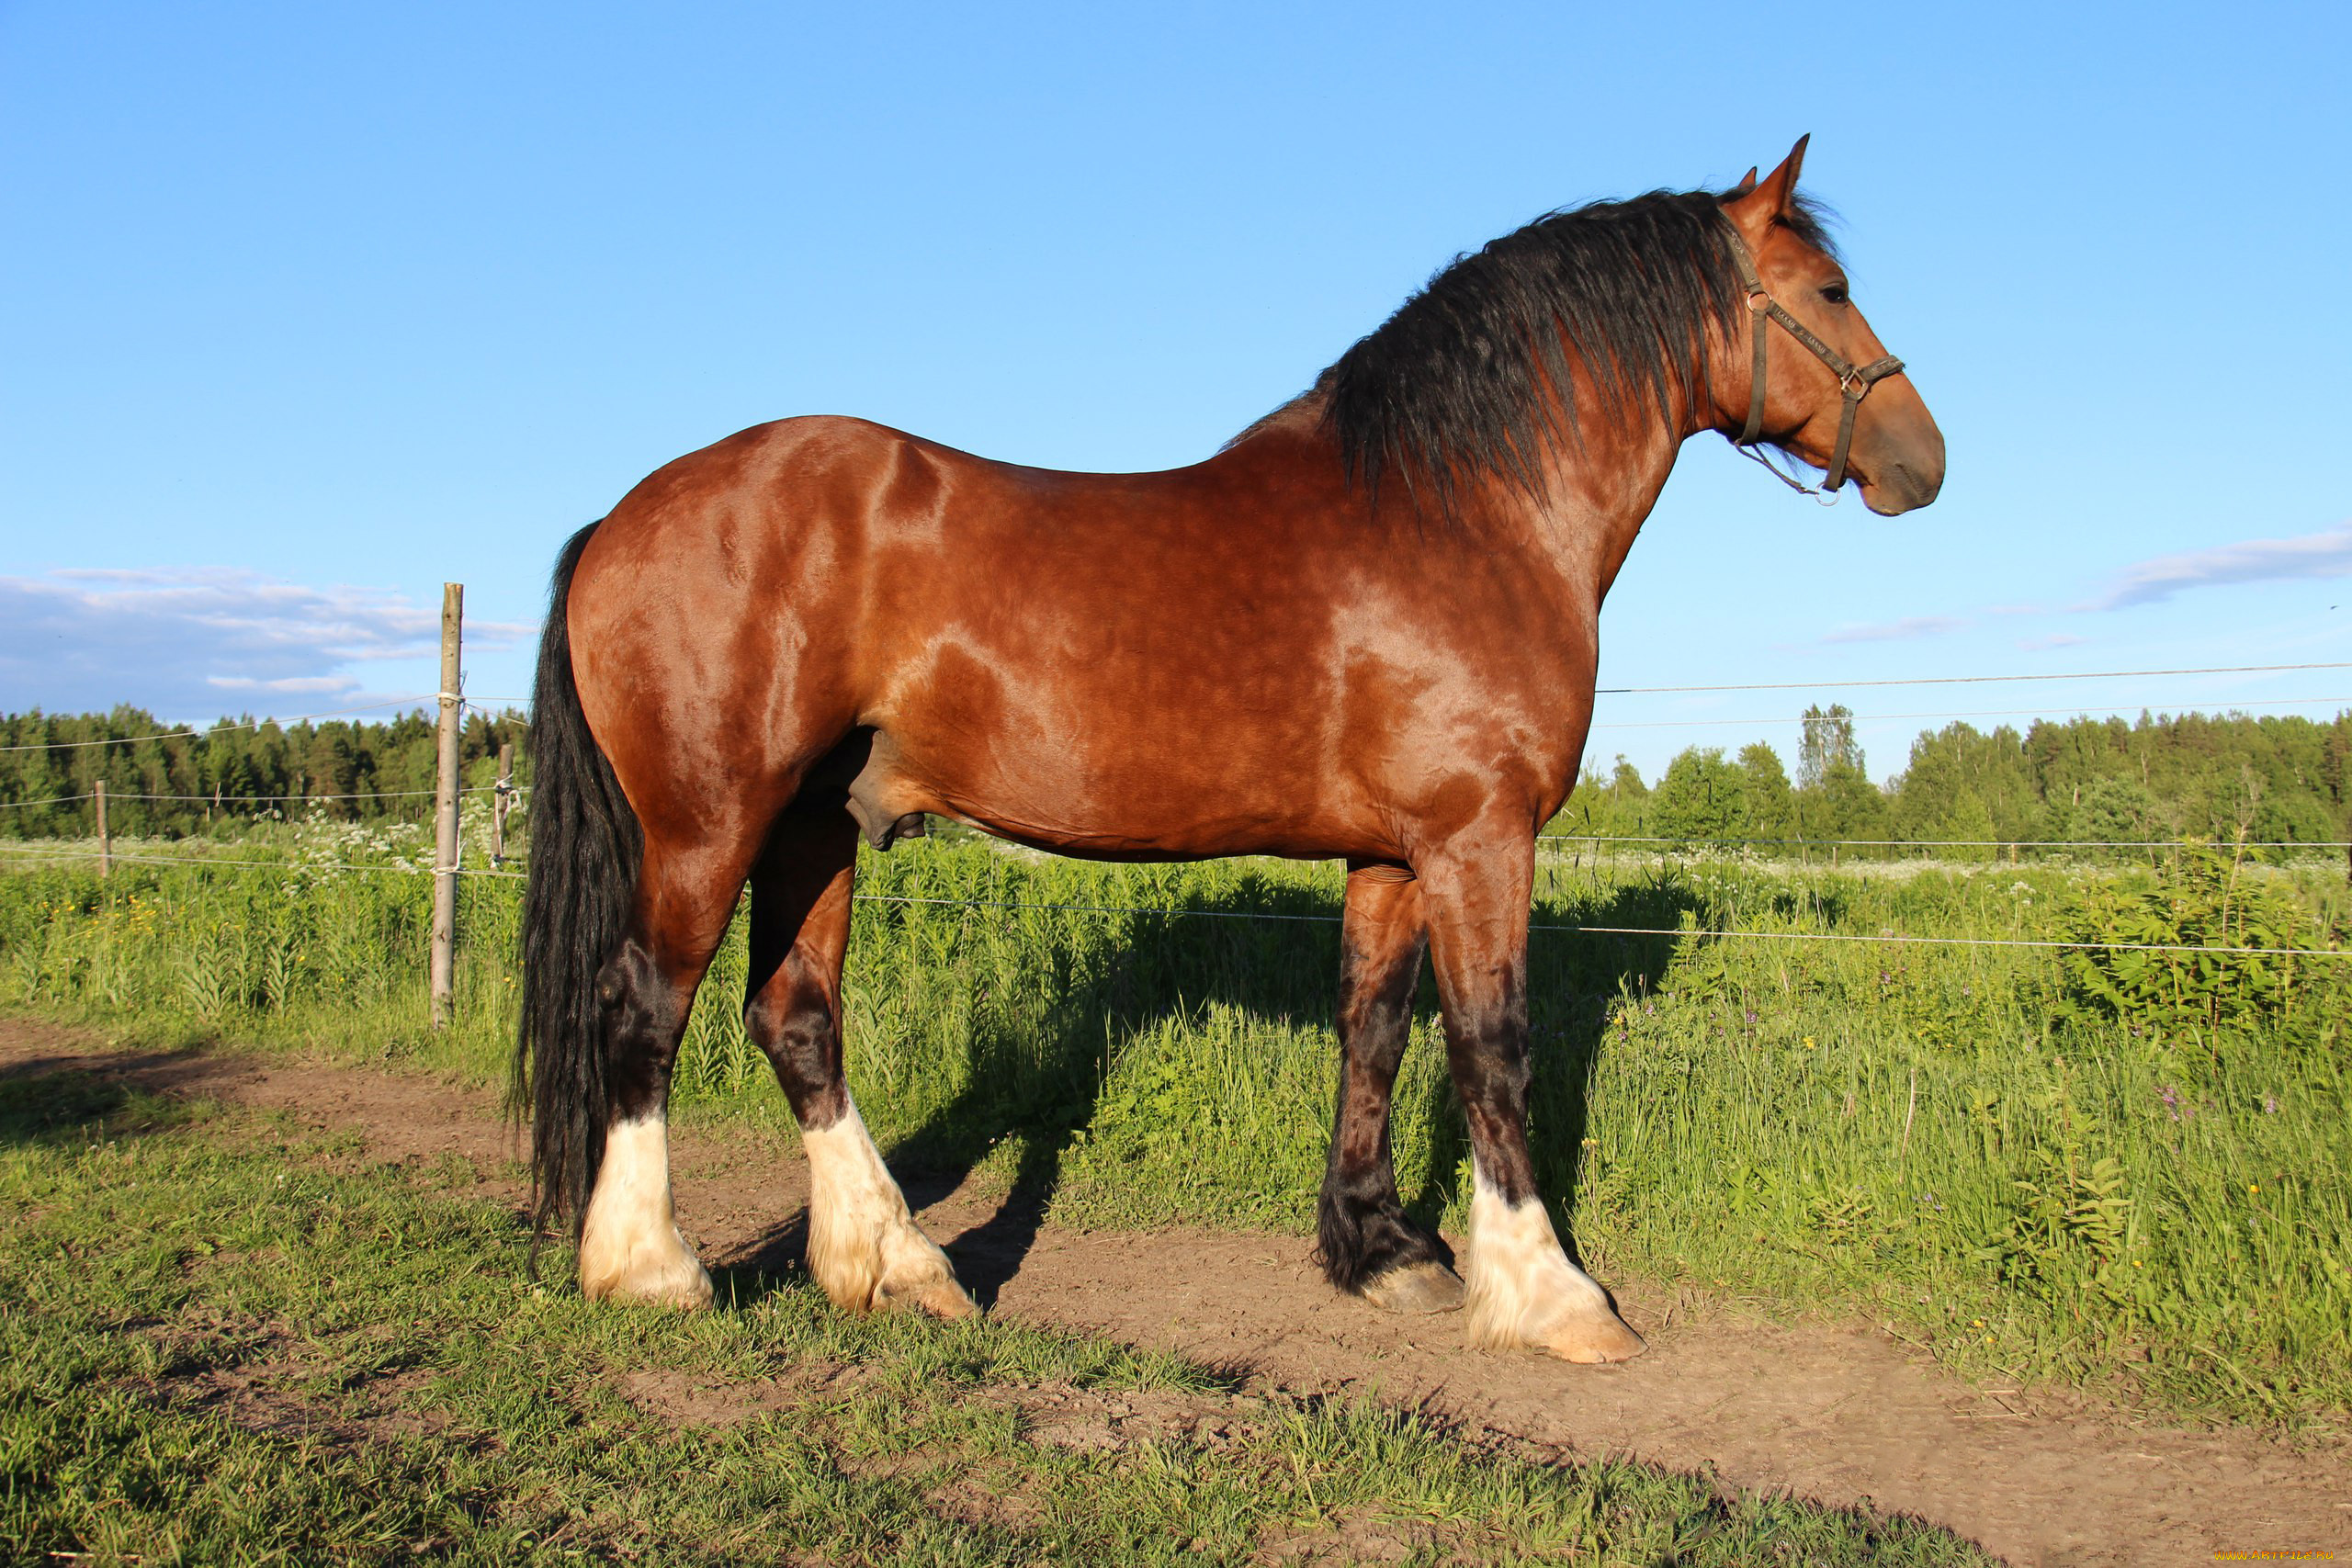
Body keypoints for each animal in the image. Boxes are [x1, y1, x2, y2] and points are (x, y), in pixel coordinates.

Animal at [514, 138, 1947, 1363]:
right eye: (1829, 291)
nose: (1921, 459)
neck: (1456, 512)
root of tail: (623, 516)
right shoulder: (1480, 836)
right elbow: (1492, 1041)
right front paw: (1550, 1292)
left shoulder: (1394, 856)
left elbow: (1374, 1031)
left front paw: (1381, 1250)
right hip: (710, 821)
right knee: (642, 1004)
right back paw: (650, 1269)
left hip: (816, 823)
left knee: (796, 1018)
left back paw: (897, 1267)